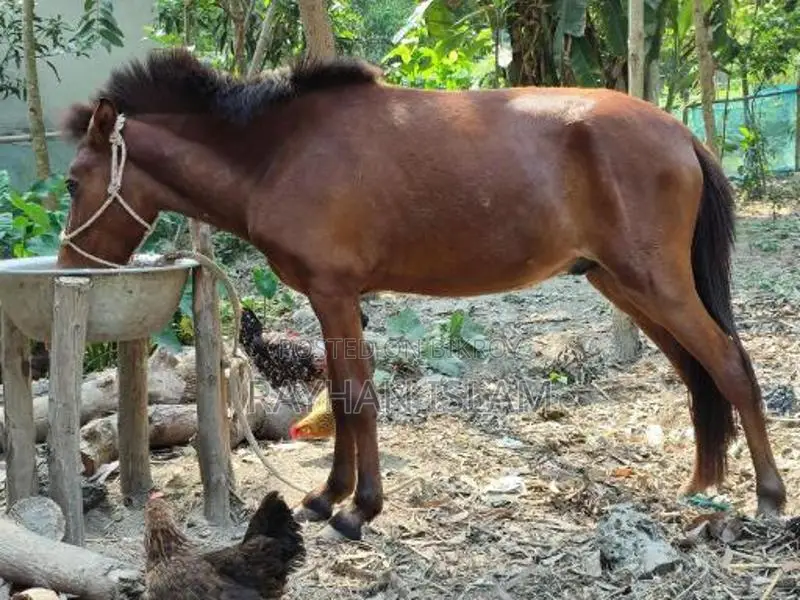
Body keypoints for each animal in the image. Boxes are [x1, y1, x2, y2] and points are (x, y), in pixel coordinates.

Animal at [57, 47, 787, 541]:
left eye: (70, 181)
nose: (71, 268)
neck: (281, 153)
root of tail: (681, 132)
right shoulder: (330, 300)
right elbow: (341, 398)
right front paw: (327, 497)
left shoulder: (335, 295)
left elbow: (358, 399)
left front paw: (359, 509)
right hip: (623, 284)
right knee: (696, 374)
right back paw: (701, 484)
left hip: (655, 284)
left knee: (729, 364)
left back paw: (770, 497)